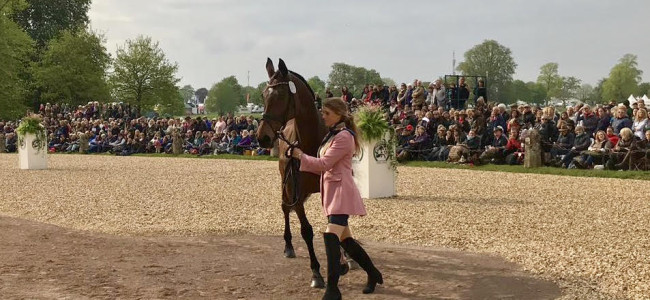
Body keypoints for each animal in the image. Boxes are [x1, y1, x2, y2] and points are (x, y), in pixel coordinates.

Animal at [256, 58, 326, 288]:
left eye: (280, 95)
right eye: (263, 95)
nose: (262, 137)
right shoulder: (294, 188)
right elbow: (306, 230)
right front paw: (316, 273)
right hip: (286, 185)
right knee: (286, 208)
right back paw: (288, 246)